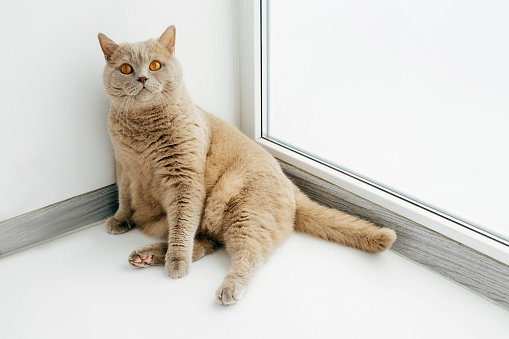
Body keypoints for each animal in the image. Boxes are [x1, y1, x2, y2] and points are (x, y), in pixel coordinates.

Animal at [97, 25, 394, 308]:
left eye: (155, 65)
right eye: (126, 69)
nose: (142, 78)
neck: (143, 132)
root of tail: (292, 187)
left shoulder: (184, 180)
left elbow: (182, 224)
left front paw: (178, 261)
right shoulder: (123, 166)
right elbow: (125, 199)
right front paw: (120, 220)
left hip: (245, 213)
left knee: (247, 254)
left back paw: (221, 283)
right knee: (205, 242)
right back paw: (147, 256)